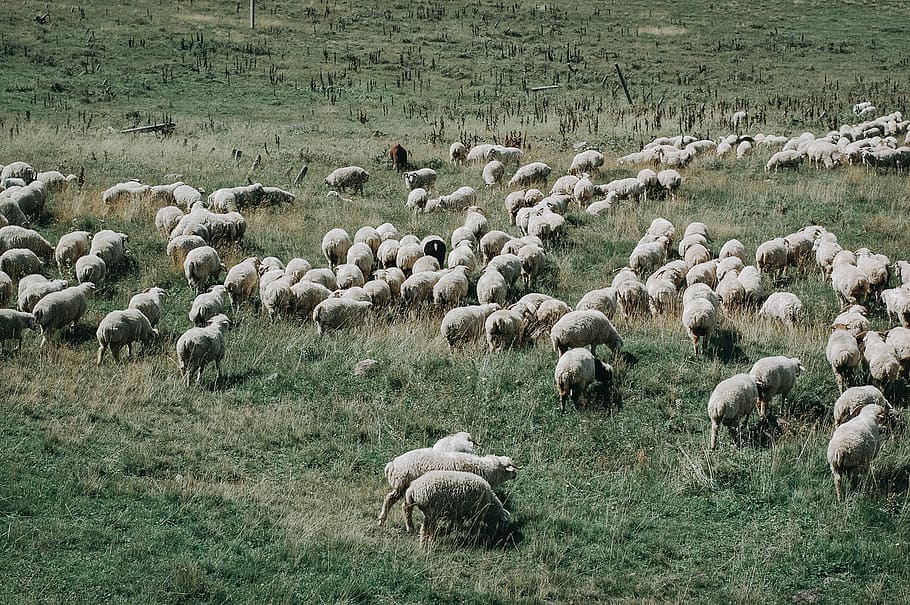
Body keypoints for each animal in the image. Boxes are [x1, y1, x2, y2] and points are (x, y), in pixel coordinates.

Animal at [380, 448, 520, 528]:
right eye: (510, 468)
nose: (515, 475)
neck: (487, 469)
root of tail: (393, 464)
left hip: (402, 488)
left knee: (390, 499)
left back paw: (382, 519)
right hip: (403, 485)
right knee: (403, 506)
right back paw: (410, 527)